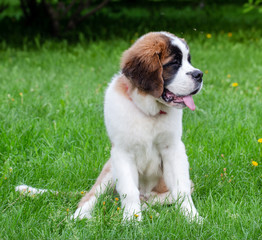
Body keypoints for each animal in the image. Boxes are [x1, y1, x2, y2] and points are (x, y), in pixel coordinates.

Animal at [72, 31, 204, 222]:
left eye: (189, 60)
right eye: (174, 63)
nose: (199, 74)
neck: (148, 111)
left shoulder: (173, 149)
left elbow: (181, 189)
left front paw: (192, 218)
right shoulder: (122, 153)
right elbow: (129, 190)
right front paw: (132, 220)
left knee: (155, 198)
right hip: (109, 169)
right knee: (93, 195)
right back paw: (80, 215)